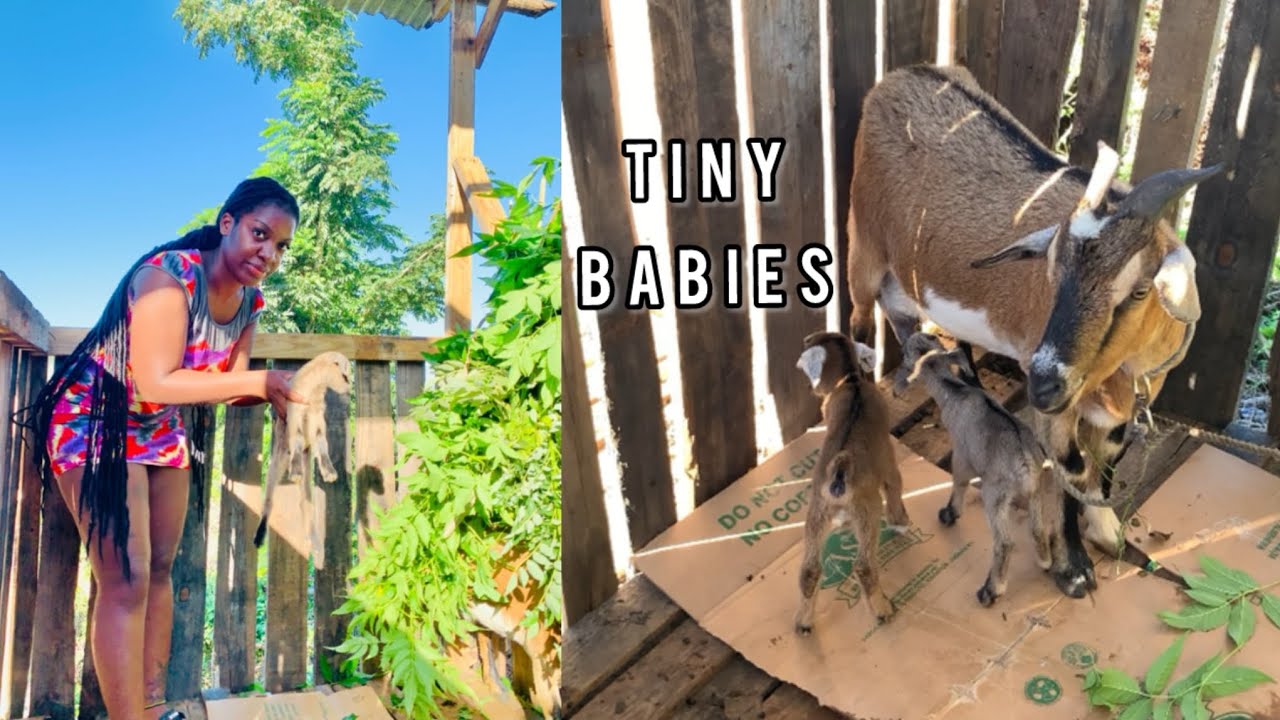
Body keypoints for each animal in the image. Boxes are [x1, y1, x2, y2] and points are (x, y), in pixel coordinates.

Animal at [255, 351, 352, 570]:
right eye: (344, 375)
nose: (350, 386)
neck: (312, 395)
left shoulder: (318, 422)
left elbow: (323, 446)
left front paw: (329, 471)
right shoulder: (295, 418)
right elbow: (298, 441)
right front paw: (296, 470)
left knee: (306, 505)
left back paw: (317, 550)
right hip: (277, 462)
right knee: (269, 500)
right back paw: (259, 537)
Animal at [793, 331, 910, 633]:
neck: (851, 382)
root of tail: (839, 474)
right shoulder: (887, 457)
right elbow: (895, 484)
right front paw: (900, 522)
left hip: (816, 512)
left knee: (809, 569)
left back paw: (803, 623)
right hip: (868, 510)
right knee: (864, 566)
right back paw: (882, 610)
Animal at [894, 333, 1062, 606]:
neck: (954, 391)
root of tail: (1025, 461)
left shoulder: (961, 453)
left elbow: (959, 481)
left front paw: (950, 513)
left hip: (994, 494)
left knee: (1004, 542)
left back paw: (991, 590)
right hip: (1034, 488)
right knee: (1037, 527)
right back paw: (1045, 561)